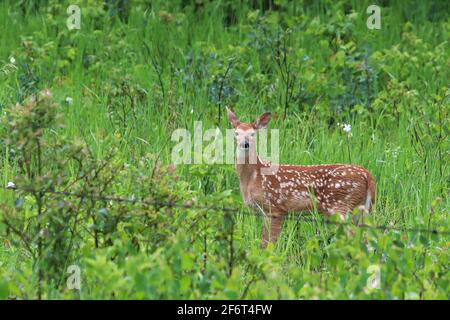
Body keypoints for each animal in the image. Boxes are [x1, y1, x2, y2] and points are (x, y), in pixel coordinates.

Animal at [225, 108, 376, 248]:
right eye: (236, 133)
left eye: (253, 134)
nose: (244, 144)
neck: (253, 177)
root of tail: (367, 174)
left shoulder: (275, 207)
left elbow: (269, 244)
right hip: (361, 208)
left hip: (342, 205)